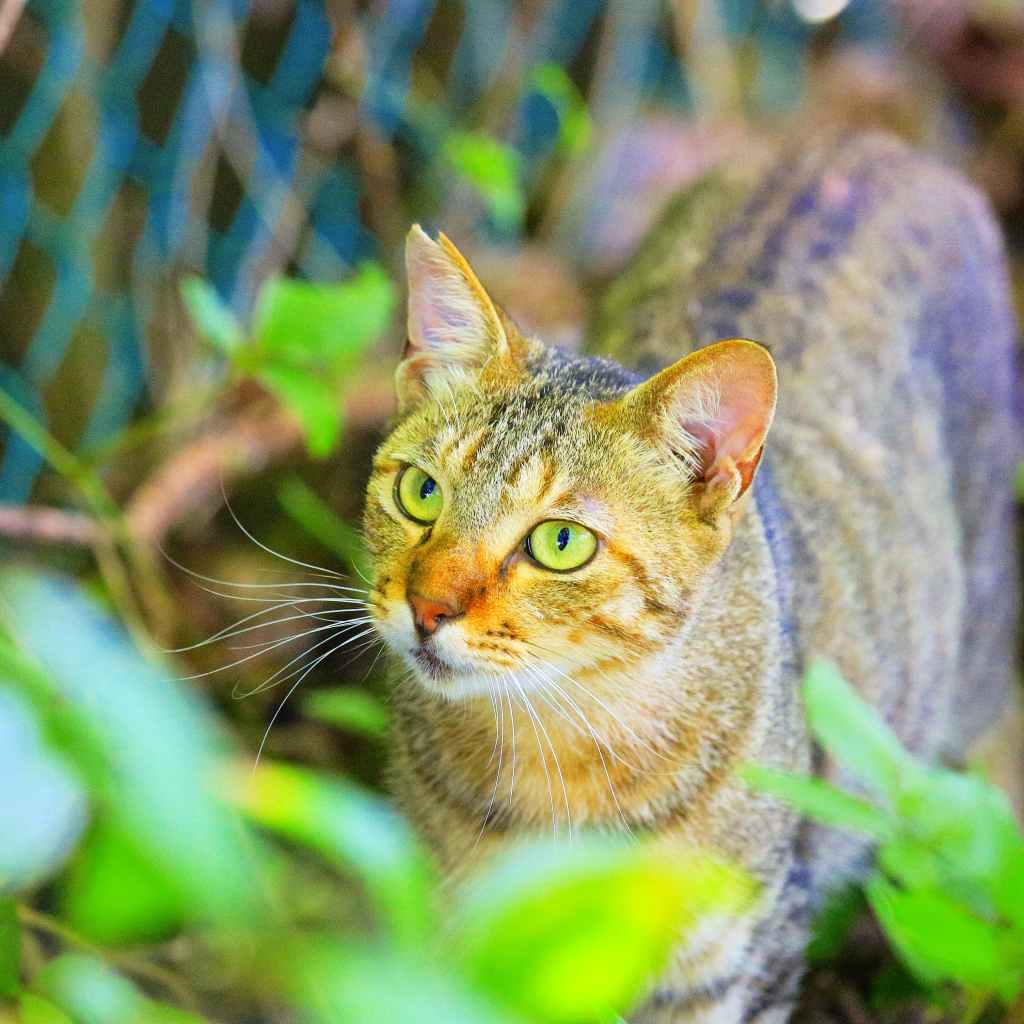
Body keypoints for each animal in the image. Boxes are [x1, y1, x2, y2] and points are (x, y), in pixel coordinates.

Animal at [363, 132, 1021, 1022]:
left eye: (561, 543)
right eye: (420, 492)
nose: (426, 607)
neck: (558, 752)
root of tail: (878, 143)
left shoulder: (738, 958)